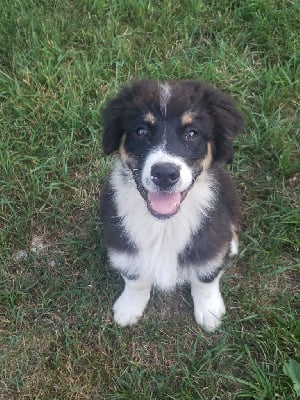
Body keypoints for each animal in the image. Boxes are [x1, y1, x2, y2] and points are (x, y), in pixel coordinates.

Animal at [99, 79, 243, 332]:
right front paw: (129, 307)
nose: (165, 174)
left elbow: (206, 276)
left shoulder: (208, 238)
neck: (164, 224)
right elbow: (134, 277)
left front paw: (210, 312)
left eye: (192, 134)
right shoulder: (122, 239)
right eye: (141, 131)